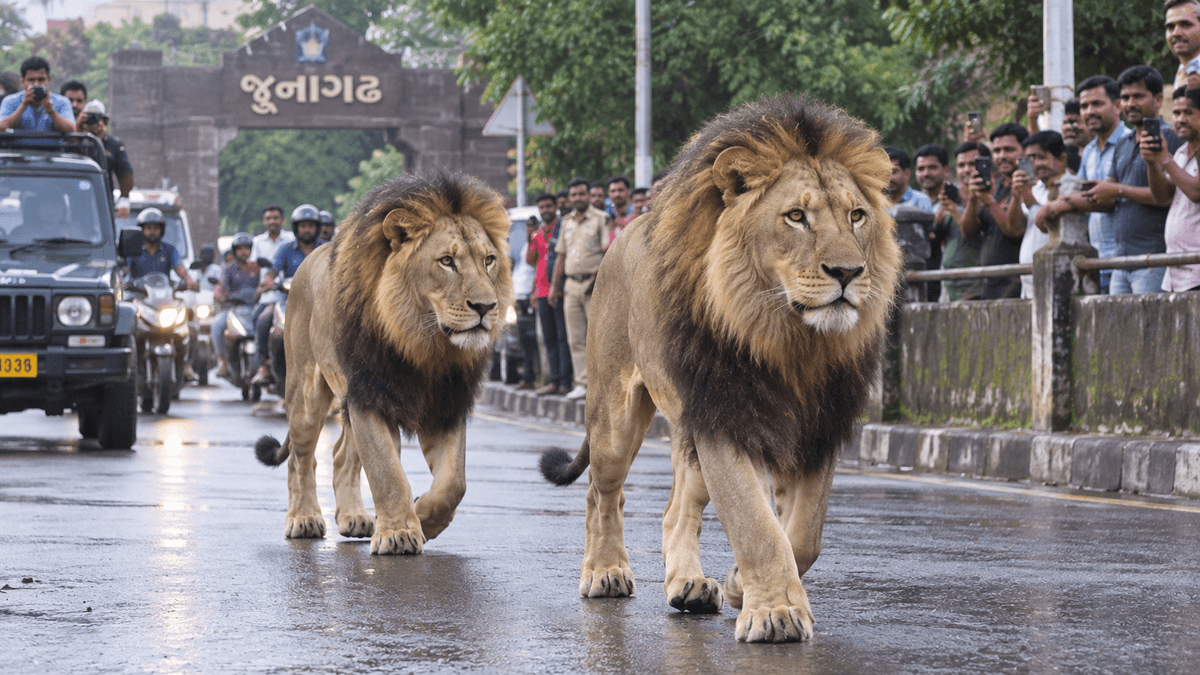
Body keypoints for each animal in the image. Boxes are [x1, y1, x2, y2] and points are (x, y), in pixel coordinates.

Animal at [255, 172, 514, 555]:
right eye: (446, 261)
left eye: (489, 260)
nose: (486, 307)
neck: (425, 344)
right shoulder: (372, 396)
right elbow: (387, 472)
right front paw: (398, 533)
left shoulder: (446, 403)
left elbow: (454, 483)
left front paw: (423, 517)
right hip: (306, 393)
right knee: (302, 458)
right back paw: (303, 518)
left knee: (340, 455)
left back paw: (353, 517)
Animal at [539, 95, 903, 642]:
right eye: (796, 216)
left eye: (857, 215)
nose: (848, 272)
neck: (791, 341)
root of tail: (624, 234)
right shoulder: (725, 415)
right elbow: (754, 523)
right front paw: (775, 612)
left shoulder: (817, 427)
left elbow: (803, 535)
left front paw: (738, 584)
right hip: (615, 416)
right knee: (602, 495)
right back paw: (605, 572)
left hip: (689, 428)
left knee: (674, 511)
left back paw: (689, 586)